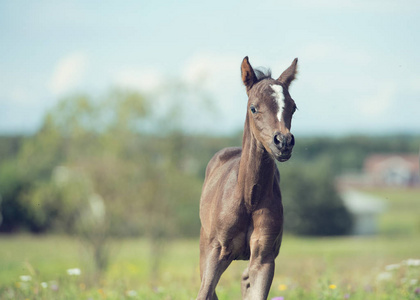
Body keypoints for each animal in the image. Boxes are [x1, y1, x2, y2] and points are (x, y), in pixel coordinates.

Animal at [198, 56, 298, 300]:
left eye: (293, 107)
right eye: (254, 108)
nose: (283, 142)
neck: (248, 198)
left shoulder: (264, 256)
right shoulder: (216, 251)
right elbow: (205, 291)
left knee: (244, 279)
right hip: (204, 244)